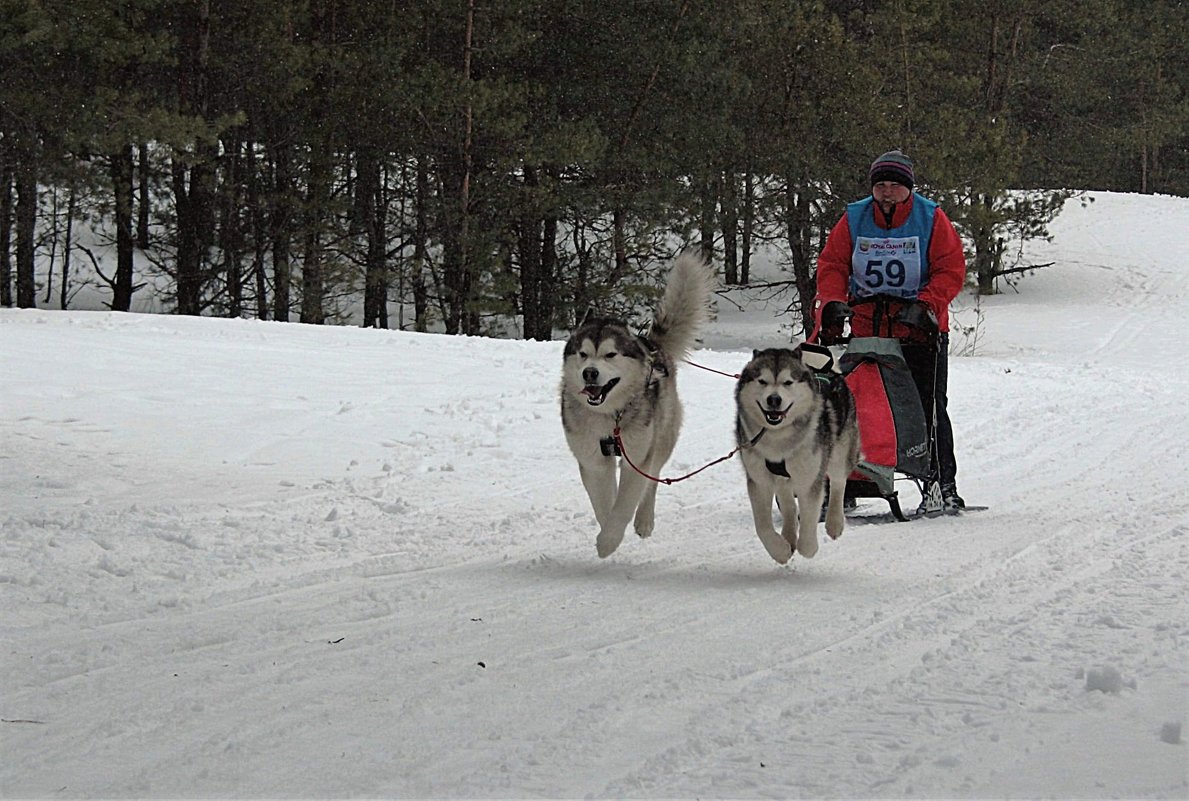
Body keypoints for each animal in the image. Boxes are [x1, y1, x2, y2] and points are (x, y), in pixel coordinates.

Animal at [558, 253, 713, 558]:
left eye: (610, 354)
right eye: (583, 354)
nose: (590, 373)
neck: (609, 418)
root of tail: (651, 345)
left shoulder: (638, 456)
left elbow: (626, 502)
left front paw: (608, 541)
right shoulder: (593, 459)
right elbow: (605, 504)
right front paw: (607, 532)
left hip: (662, 435)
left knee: (652, 478)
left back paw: (644, 520)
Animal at [732, 344, 856, 560]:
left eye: (788, 382)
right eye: (762, 381)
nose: (774, 399)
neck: (778, 439)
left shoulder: (809, 478)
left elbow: (809, 517)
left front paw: (808, 547)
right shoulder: (759, 480)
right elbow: (762, 527)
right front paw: (780, 551)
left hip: (840, 451)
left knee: (839, 482)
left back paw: (834, 523)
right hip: (782, 479)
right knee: (788, 503)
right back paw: (788, 536)